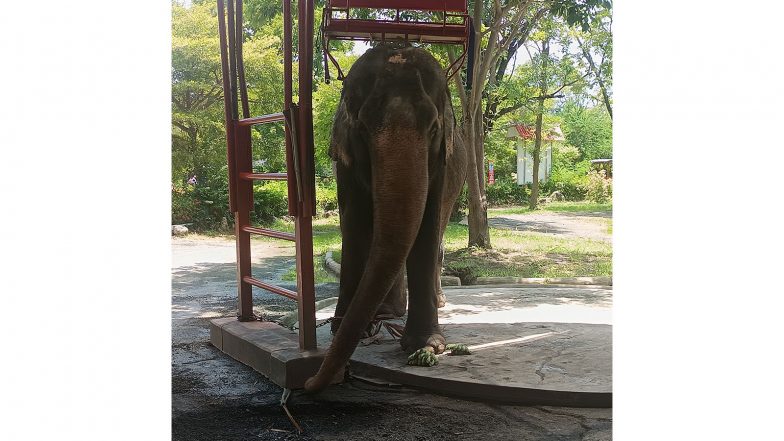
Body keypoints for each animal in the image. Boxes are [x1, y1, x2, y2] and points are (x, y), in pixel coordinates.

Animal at [304, 44, 467, 393]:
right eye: (363, 129)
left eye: (434, 128)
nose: (310, 382)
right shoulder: (345, 161)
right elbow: (354, 223)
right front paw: (342, 329)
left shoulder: (441, 165)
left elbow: (427, 225)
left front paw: (427, 345)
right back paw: (387, 313)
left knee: (439, 232)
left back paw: (434, 303)